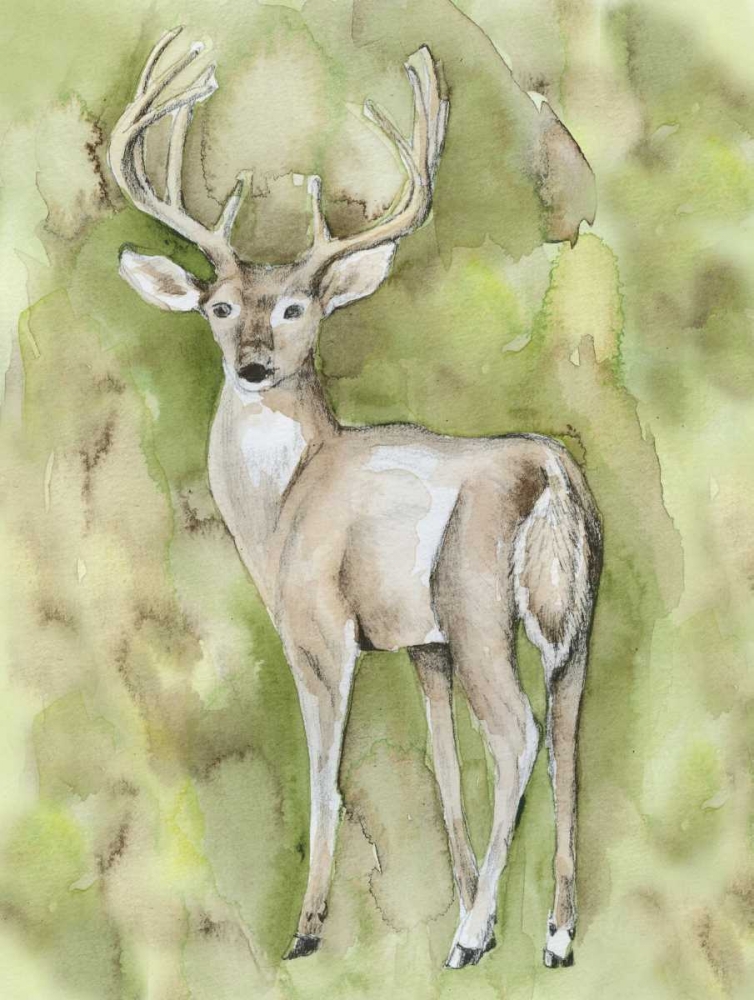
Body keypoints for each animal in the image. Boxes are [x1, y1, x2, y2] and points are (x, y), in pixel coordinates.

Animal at [109, 28, 602, 971]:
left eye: (297, 308)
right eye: (220, 307)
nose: (253, 366)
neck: (284, 506)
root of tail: (554, 476)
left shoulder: (320, 622)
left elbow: (326, 774)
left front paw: (310, 928)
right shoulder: (422, 644)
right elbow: (443, 772)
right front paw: (467, 902)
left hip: (478, 601)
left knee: (518, 735)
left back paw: (474, 937)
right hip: (578, 615)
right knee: (564, 735)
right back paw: (553, 937)